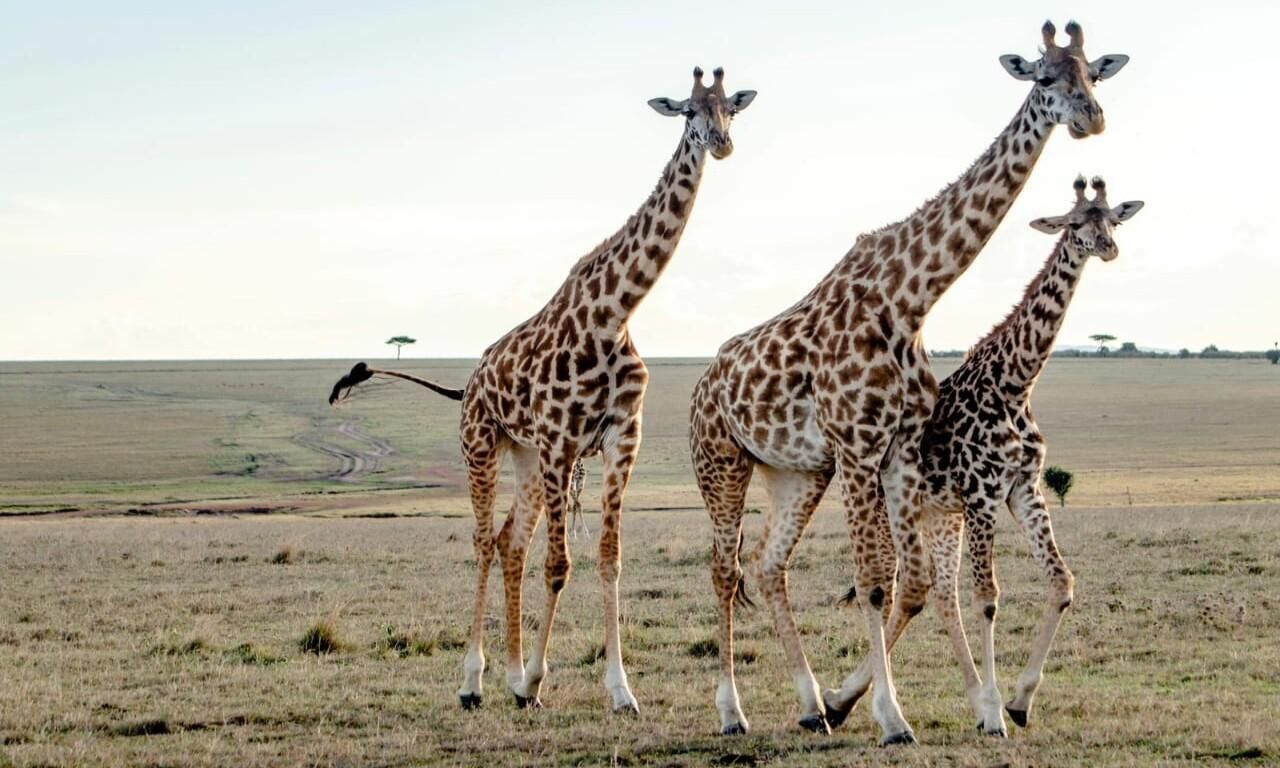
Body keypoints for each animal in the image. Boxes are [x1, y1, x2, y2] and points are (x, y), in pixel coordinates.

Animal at [329, 67, 756, 714]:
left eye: (731, 106)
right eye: (687, 110)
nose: (723, 143)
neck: (615, 313)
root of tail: (470, 382)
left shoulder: (619, 440)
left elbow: (608, 561)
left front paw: (618, 690)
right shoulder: (561, 442)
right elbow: (559, 565)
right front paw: (536, 679)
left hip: (526, 458)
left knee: (510, 542)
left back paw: (505, 675)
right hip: (482, 445)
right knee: (484, 541)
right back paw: (474, 680)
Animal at [688, 21, 1128, 743]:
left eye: (1094, 71)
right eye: (1043, 76)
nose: (1091, 119)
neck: (908, 298)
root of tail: (703, 383)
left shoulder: (897, 453)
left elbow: (907, 582)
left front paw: (870, 703)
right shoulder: (860, 449)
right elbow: (874, 580)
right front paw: (894, 718)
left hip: (796, 473)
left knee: (770, 565)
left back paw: (811, 705)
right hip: (721, 462)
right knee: (725, 571)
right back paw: (731, 711)